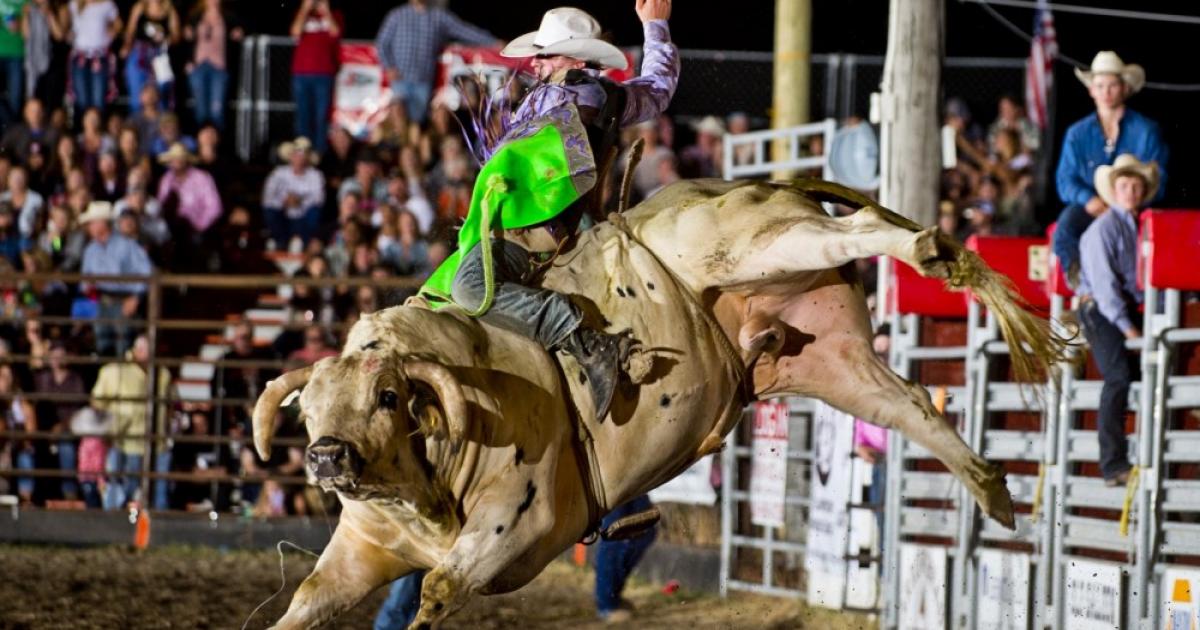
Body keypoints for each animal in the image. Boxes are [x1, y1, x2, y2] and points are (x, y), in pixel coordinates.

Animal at [253, 177, 1070, 628]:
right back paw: (993, 491)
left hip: (752, 246)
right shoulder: (361, 550)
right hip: (828, 357)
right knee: (911, 408)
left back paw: (933, 253)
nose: (326, 456)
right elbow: (306, 601)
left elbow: (441, 586)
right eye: (308, 410)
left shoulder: (517, 532)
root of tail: (733, 187)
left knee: (861, 230)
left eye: (388, 394)